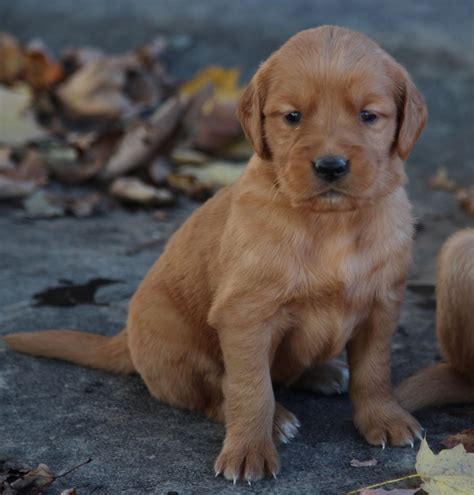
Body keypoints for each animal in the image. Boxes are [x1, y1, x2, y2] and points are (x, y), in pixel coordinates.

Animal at [1, 25, 428, 482]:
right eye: (292, 117)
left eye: (368, 116)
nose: (330, 166)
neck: (332, 224)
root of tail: (126, 341)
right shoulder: (245, 316)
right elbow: (250, 388)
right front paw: (249, 450)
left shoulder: (381, 305)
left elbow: (374, 370)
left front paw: (384, 418)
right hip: (179, 342)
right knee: (215, 394)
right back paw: (276, 420)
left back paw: (323, 371)